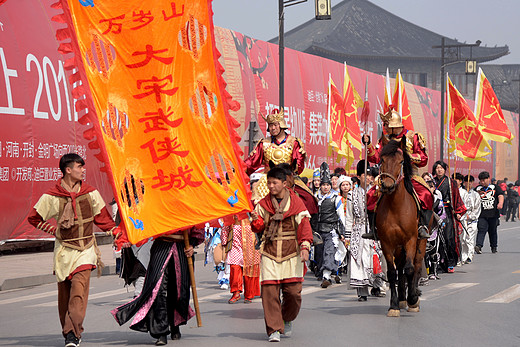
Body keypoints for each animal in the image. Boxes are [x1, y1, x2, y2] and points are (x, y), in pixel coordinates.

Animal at [378, 140, 426, 316]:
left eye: (401, 162)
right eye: (382, 160)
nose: (387, 185)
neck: (396, 207)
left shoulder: (410, 240)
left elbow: (410, 269)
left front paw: (413, 299)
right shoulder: (386, 242)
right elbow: (392, 273)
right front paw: (394, 305)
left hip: (420, 242)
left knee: (416, 266)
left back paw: (412, 298)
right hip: (398, 247)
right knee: (400, 268)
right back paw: (402, 299)